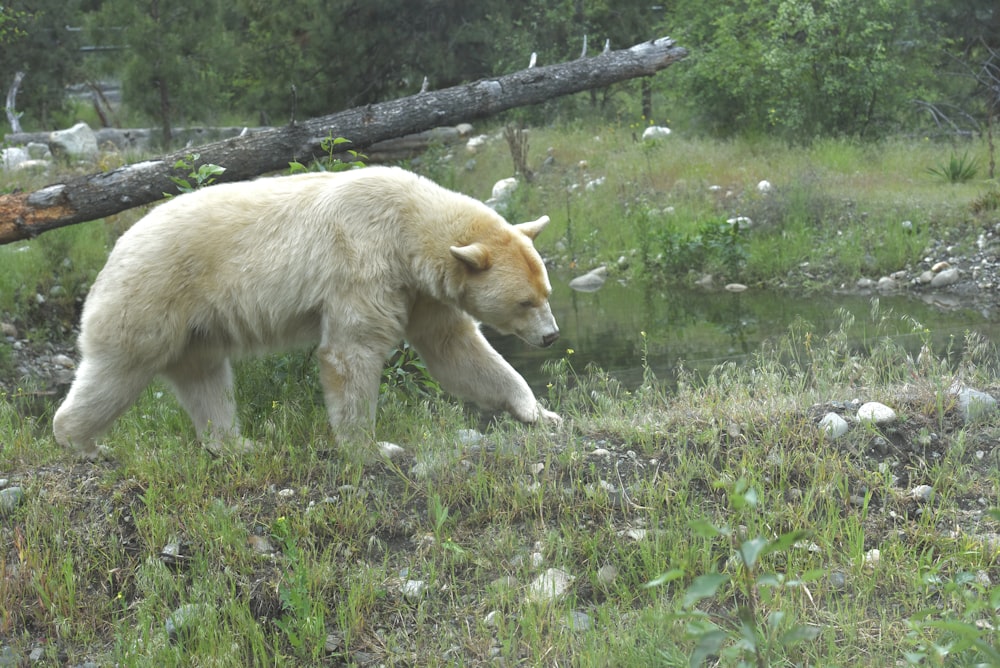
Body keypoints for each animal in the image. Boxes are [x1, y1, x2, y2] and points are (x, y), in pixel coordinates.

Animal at [52, 166, 564, 460]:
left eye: (546, 291)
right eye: (525, 302)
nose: (551, 336)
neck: (408, 225)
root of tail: (114, 250)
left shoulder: (422, 292)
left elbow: (455, 350)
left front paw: (539, 411)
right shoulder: (364, 262)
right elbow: (352, 352)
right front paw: (374, 448)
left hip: (196, 325)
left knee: (205, 379)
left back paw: (234, 442)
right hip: (152, 297)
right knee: (118, 371)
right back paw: (81, 442)